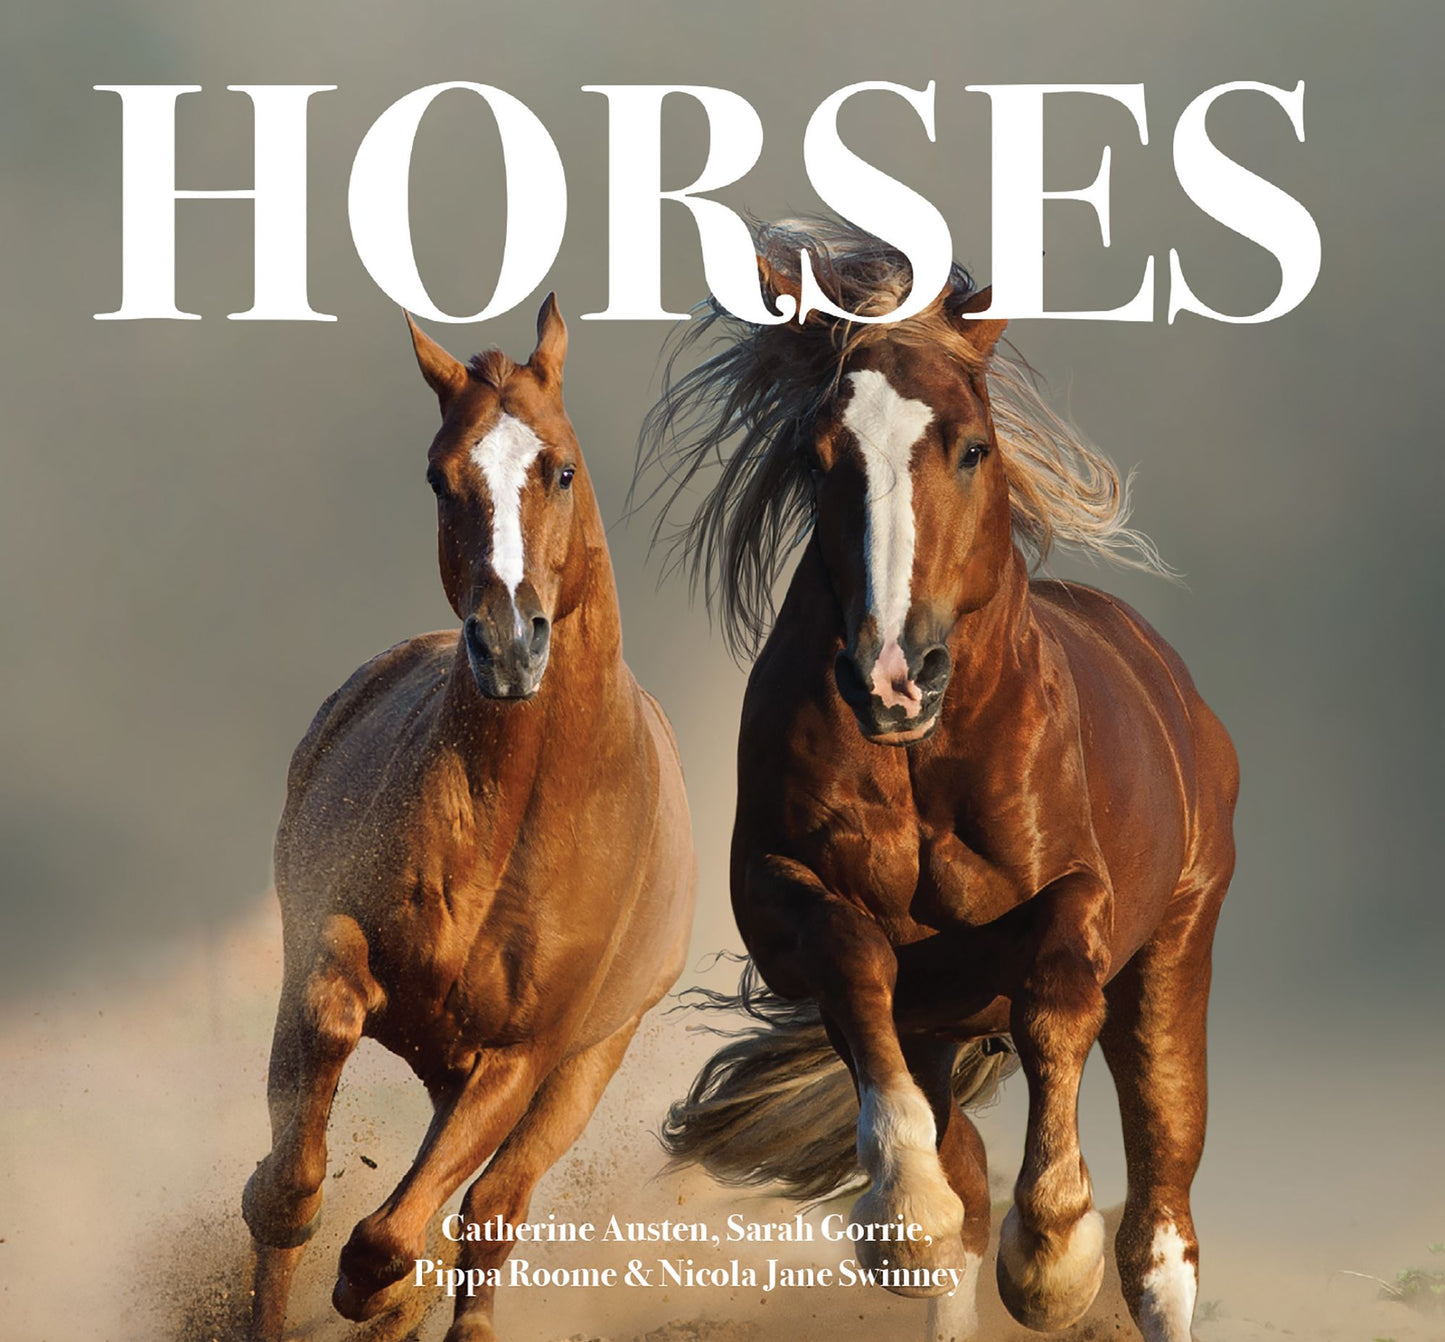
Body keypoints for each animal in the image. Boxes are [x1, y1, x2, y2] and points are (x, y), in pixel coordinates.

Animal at [240, 295, 696, 1342]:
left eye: (559, 467)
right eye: (440, 477)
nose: (509, 644)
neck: (514, 820)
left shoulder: (522, 1059)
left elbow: (397, 1235)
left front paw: (382, 1292)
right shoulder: (331, 944)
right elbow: (296, 1164)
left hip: (582, 1067)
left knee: (492, 1211)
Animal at [642, 221, 1238, 1342]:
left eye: (971, 446)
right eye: (818, 456)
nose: (890, 675)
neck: (925, 759)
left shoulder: (1079, 899)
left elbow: (1056, 993)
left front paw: (1049, 1254)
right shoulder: (788, 906)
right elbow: (853, 964)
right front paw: (904, 1212)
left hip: (1174, 958)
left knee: (1159, 1237)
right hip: (941, 1026)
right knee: (961, 1190)